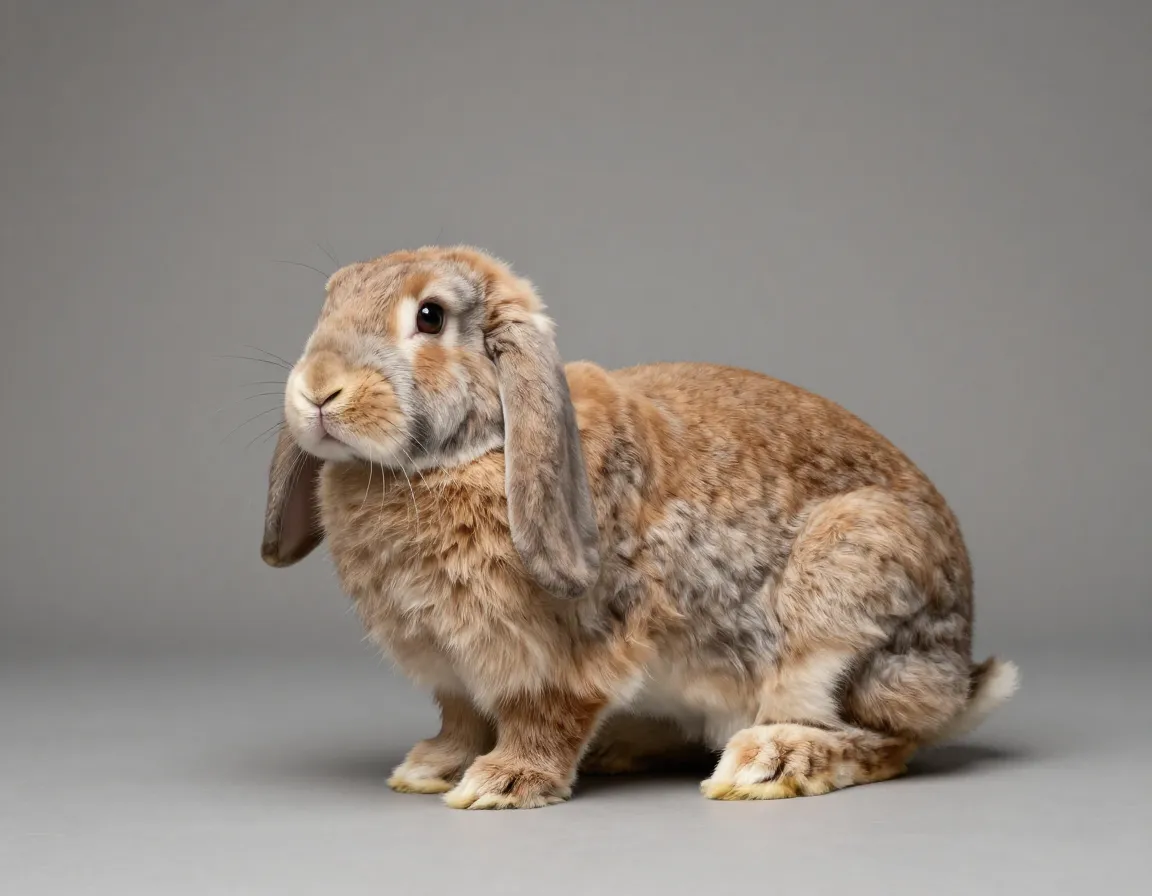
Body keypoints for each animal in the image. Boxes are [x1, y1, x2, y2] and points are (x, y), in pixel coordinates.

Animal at [260, 245, 1019, 809]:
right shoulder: (452, 669)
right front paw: (431, 767)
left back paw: (769, 761)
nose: (317, 389)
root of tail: (959, 675)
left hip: (845, 600)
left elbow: (545, 714)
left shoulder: (570, 651)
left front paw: (503, 782)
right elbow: (462, 716)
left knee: (887, 740)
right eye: (329, 303)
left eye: (429, 316)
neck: (476, 451)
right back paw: (627, 746)